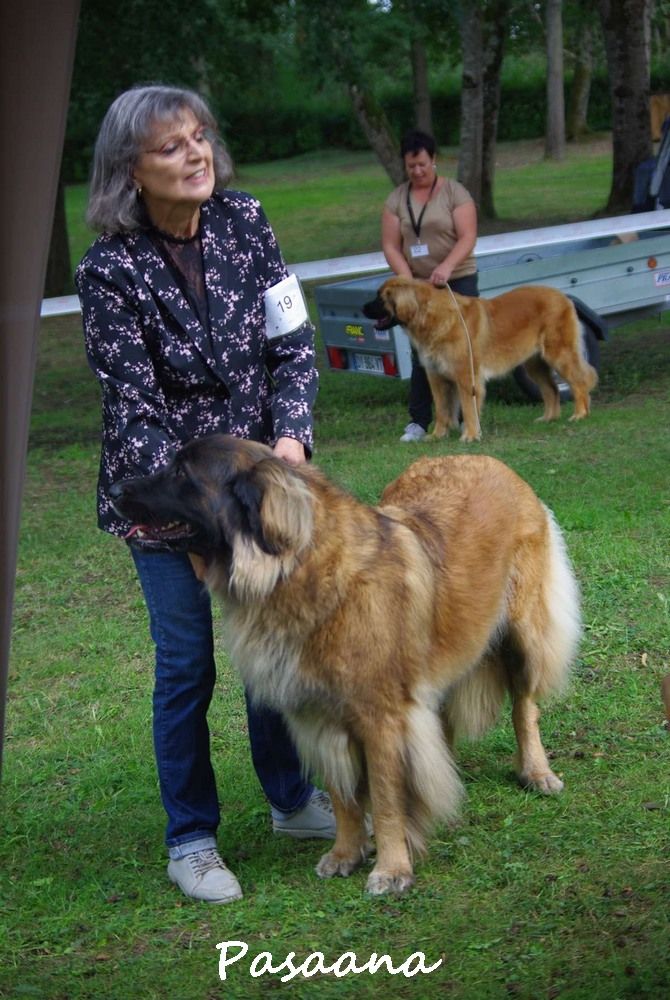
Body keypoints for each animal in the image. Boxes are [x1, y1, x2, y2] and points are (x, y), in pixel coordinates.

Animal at [110, 434, 584, 896]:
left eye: (182, 472)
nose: (113, 491)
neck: (298, 570)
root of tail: (488, 460)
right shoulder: (319, 715)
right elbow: (344, 796)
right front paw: (346, 853)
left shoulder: (382, 718)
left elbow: (387, 799)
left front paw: (392, 869)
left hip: (522, 635)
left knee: (525, 706)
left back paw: (536, 771)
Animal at [364, 278, 600, 442]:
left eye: (379, 298)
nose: (362, 308)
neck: (431, 317)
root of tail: (561, 295)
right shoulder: (437, 377)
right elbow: (441, 410)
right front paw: (437, 435)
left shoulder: (466, 376)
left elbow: (468, 409)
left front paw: (470, 435)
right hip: (534, 363)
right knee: (551, 389)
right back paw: (548, 418)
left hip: (559, 354)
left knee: (579, 381)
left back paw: (580, 414)